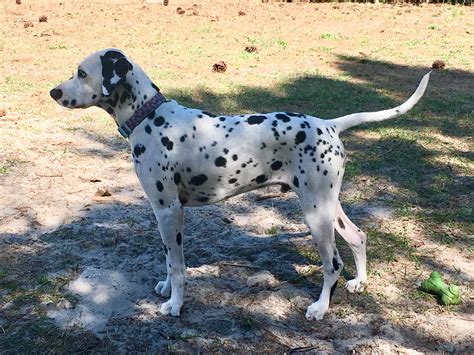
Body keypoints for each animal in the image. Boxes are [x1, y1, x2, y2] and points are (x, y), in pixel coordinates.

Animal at [50, 48, 432, 322]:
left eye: (81, 72)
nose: (53, 91)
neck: (150, 117)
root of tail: (330, 124)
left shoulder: (169, 211)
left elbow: (177, 265)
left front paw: (175, 304)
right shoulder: (162, 214)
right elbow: (168, 258)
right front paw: (165, 289)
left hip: (316, 215)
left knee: (332, 263)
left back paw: (320, 308)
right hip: (328, 206)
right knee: (358, 237)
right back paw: (360, 282)